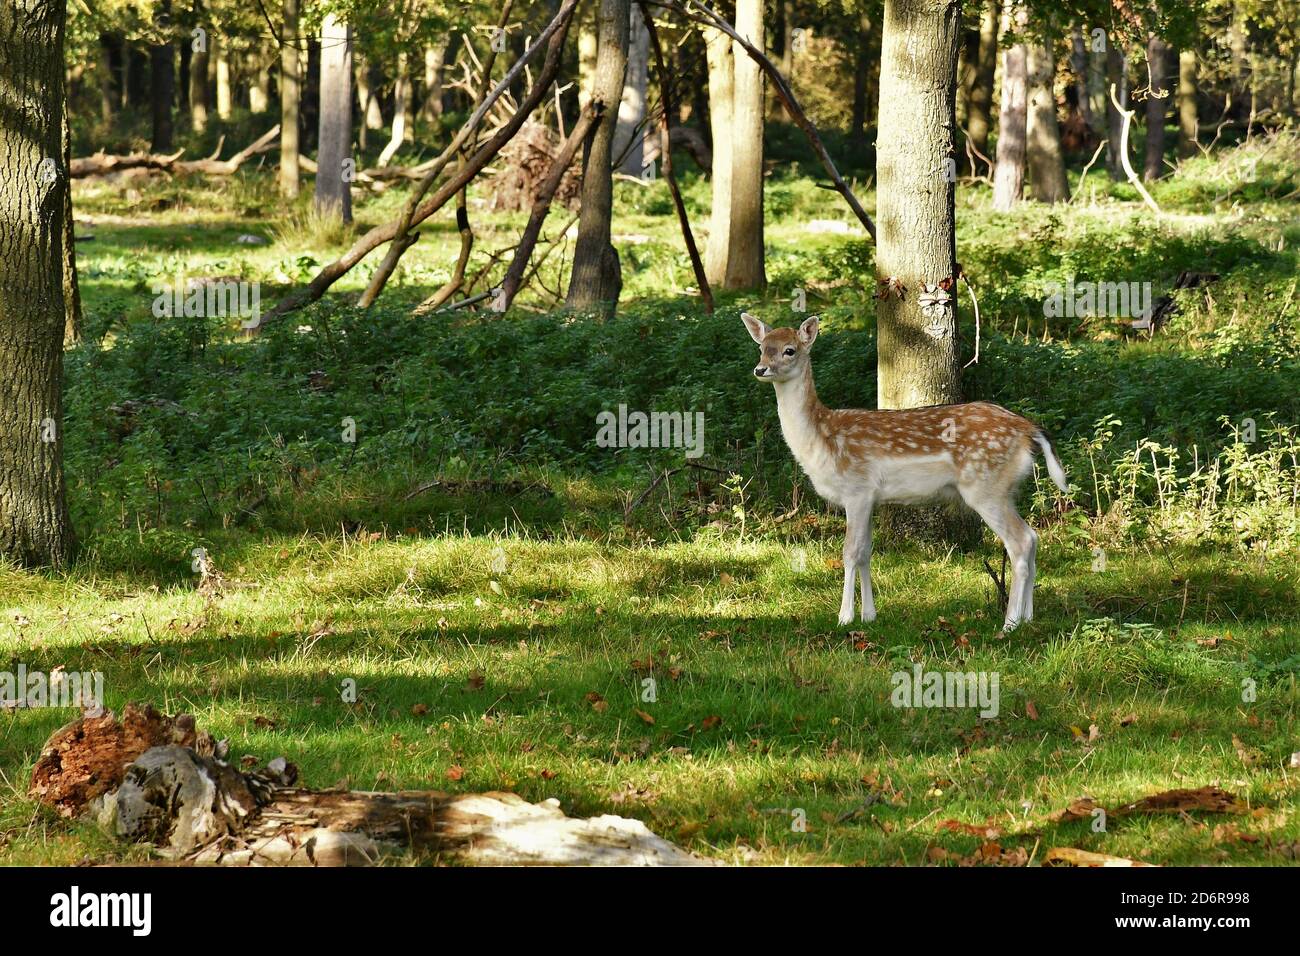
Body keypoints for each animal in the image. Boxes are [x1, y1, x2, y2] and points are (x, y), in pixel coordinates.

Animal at [743, 310, 1066, 632]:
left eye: (789, 350)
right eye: (762, 347)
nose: (760, 369)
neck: (821, 440)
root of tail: (1028, 430)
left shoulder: (856, 489)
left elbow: (850, 552)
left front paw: (844, 617)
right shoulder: (871, 498)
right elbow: (866, 552)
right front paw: (869, 615)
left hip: (985, 486)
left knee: (1020, 541)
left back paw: (1009, 624)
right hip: (1006, 489)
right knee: (1033, 537)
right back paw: (1028, 616)